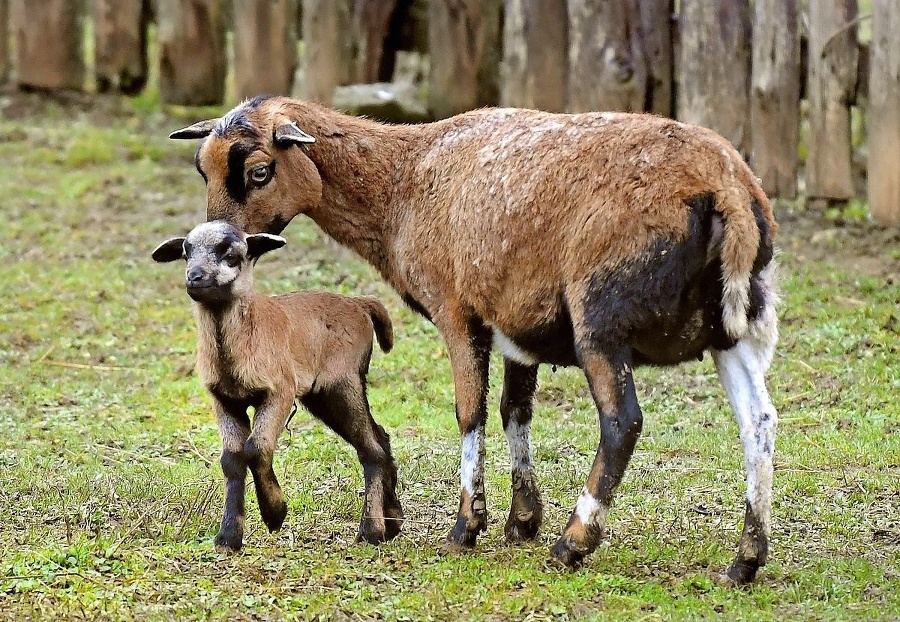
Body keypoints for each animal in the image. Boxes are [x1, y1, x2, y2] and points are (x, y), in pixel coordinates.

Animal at [152, 219, 400, 552]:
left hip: (342, 382)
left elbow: (256, 448)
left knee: (371, 449)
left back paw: (370, 531)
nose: (195, 277)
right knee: (380, 437)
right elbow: (231, 459)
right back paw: (393, 520)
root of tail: (359, 303)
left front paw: (274, 512)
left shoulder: (279, 392)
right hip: (322, 395)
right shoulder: (224, 400)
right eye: (185, 252)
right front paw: (228, 536)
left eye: (231, 254)